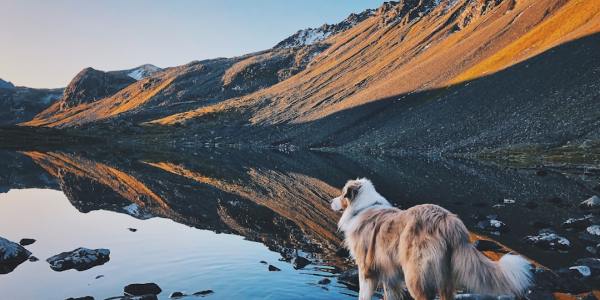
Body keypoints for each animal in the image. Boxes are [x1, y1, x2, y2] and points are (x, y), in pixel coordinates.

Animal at [330, 178, 532, 300]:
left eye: (342, 193)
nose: (331, 202)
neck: (362, 207)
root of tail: (449, 220)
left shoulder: (366, 270)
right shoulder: (389, 273)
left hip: (415, 276)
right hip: (445, 278)